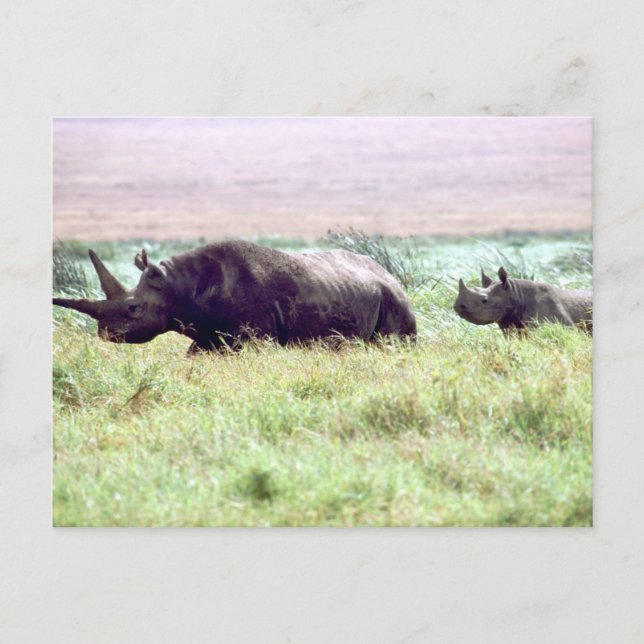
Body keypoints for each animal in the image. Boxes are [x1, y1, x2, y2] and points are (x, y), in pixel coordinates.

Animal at [53, 240, 417, 353]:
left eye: (133, 308)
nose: (105, 334)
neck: (179, 287)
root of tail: (388, 273)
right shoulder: (208, 336)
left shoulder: (254, 336)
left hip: (395, 298)